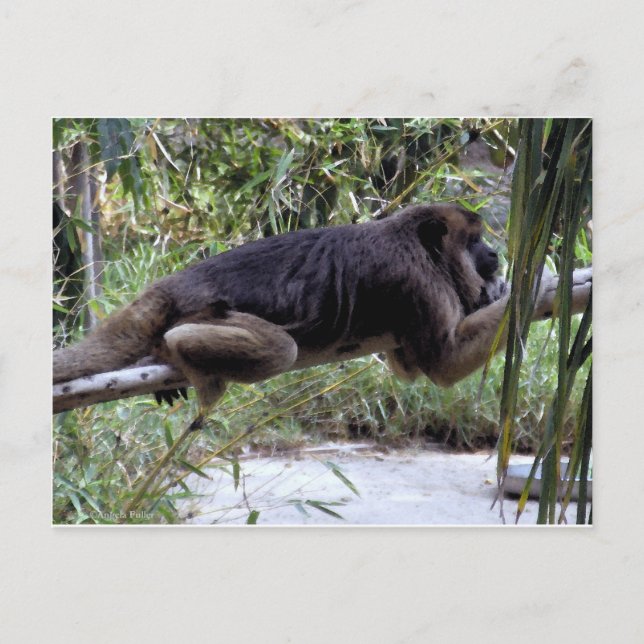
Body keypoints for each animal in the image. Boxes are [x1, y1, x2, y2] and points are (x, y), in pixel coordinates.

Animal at [53, 203, 592, 424]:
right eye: (476, 241)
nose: (496, 254)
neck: (420, 245)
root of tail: (176, 281)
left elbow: (412, 366)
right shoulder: (416, 280)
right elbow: (442, 364)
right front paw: (536, 284)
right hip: (206, 310)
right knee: (279, 349)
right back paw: (175, 348)